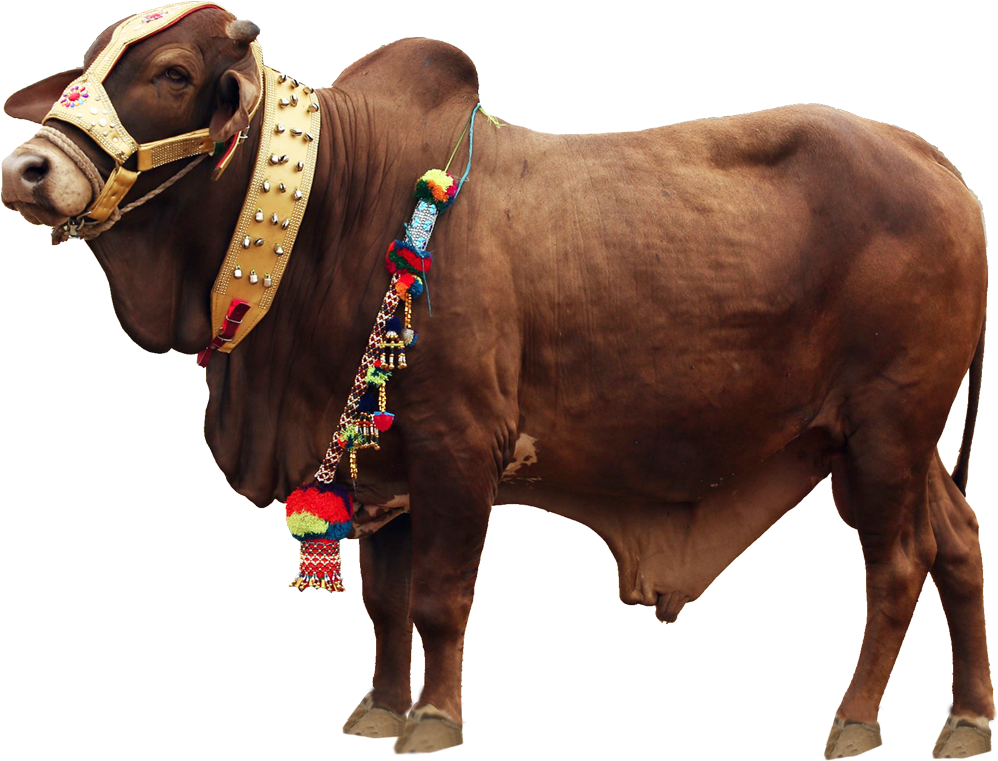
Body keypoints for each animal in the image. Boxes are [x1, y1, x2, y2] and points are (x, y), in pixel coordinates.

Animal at [2, 5, 992, 758]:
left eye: (172, 71)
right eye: (87, 64)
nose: (26, 168)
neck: (343, 205)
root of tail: (940, 167)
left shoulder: (458, 446)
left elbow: (442, 596)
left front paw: (435, 718)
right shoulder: (381, 469)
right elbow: (386, 601)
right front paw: (380, 709)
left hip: (886, 429)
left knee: (899, 564)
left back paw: (855, 721)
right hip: (893, 444)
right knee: (960, 543)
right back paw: (969, 718)